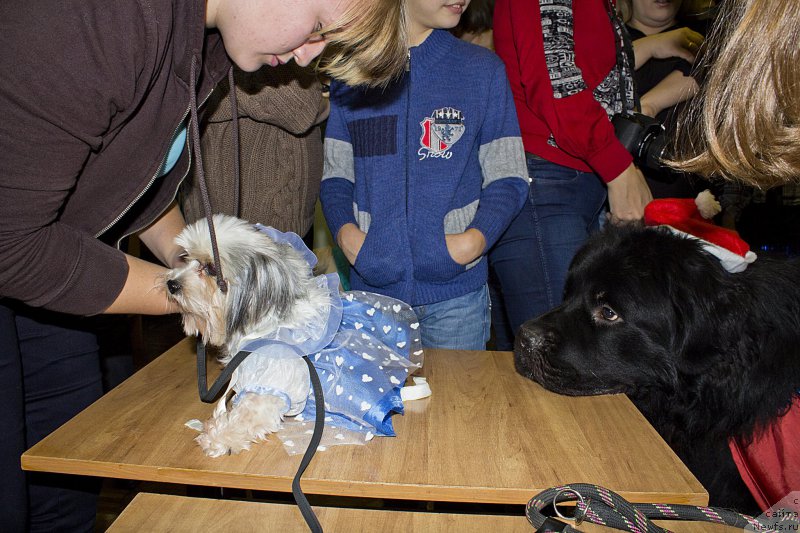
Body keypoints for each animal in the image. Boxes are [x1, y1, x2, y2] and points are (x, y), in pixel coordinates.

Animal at [165, 214, 332, 456]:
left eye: (211, 268)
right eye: (187, 258)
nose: (171, 283)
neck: (271, 325)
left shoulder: (268, 390)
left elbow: (243, 418)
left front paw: (214, 438)